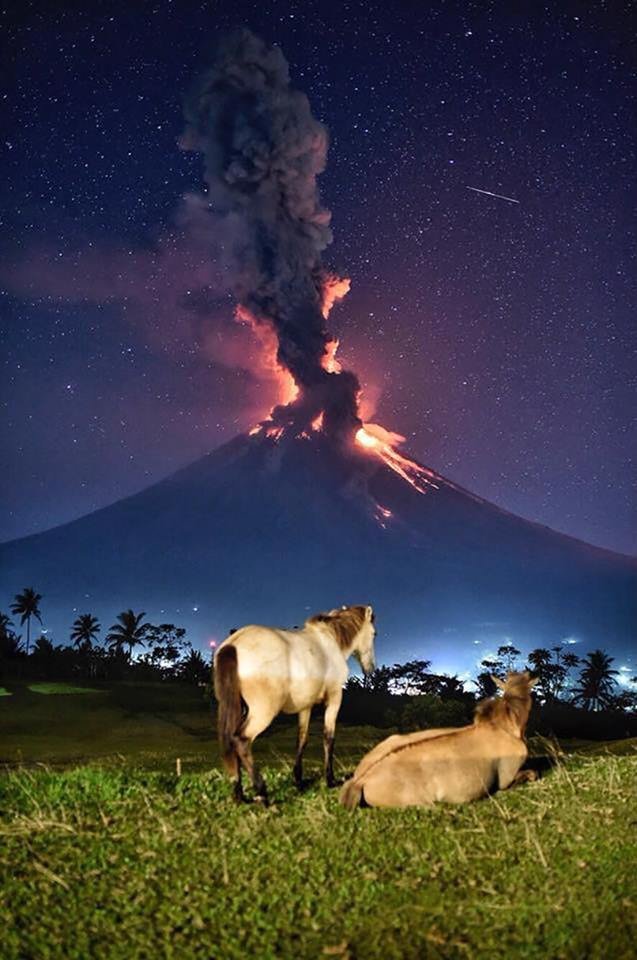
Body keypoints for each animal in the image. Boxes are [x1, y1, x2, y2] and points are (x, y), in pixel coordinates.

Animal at [214, 608, 376, 804]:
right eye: (374, 633)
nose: (371, 668)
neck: (329, 640)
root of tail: (234, 644)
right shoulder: (335, 698)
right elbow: (329, 738)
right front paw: (330, 780)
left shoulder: (305, 706)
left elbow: (302, 739)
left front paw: (298, 780)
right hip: (263, 713)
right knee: (241, 740)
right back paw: (262, 792)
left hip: (239, 708)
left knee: (231, 740)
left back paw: (240, 796)